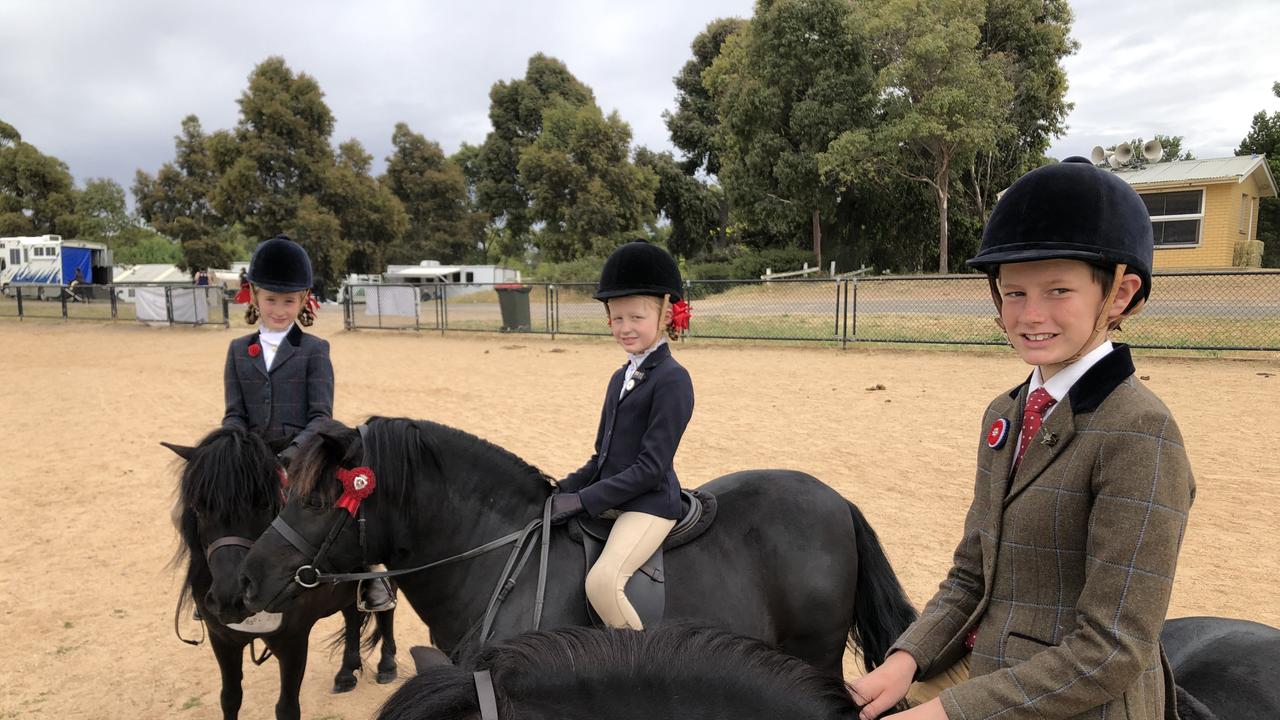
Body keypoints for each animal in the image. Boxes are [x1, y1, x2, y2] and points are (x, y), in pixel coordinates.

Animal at [170, 425, 396, 717]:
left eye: (265, 503)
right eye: (198, 507)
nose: (230, 599)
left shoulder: (293, 642)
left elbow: (287, 708)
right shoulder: (222, 639)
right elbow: (230, 698)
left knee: (387, 611)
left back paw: (387, 664)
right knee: (352, 614)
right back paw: (347, 672)